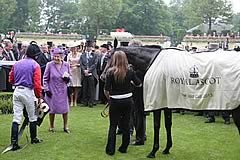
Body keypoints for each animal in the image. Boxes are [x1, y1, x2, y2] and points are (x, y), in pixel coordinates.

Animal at [107, 44, 240, 158]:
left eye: (108, 56)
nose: (104, 77)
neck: (153, 61)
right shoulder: (167, 103)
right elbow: (168, 124)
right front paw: (167, 148)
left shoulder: (157, 101)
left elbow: (157, 125)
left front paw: (153, 151)